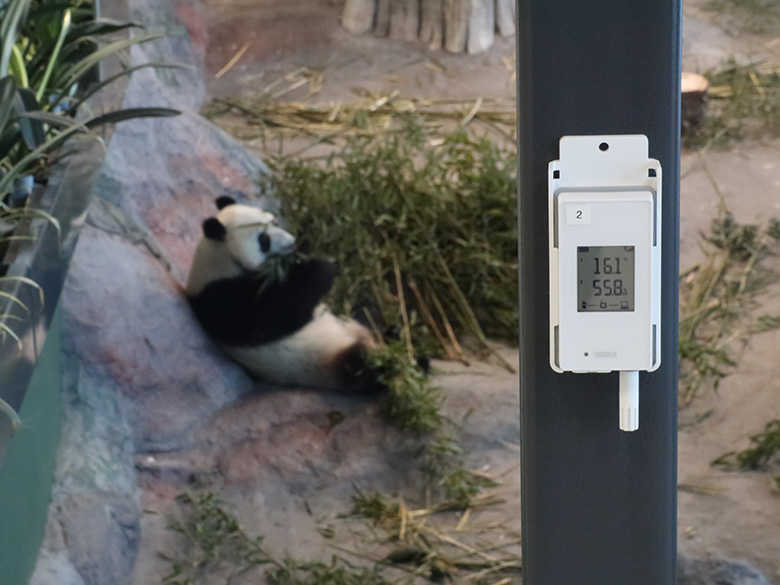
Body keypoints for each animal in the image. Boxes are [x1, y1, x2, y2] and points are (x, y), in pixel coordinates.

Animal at [185, 196, 381, 392]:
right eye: (264, 240)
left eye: (274, 221)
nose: (290, 241)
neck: (220, 259)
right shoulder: (222, 302)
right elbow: (280, 312)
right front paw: (324, 267)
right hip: (325, 361)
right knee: (360, 365)